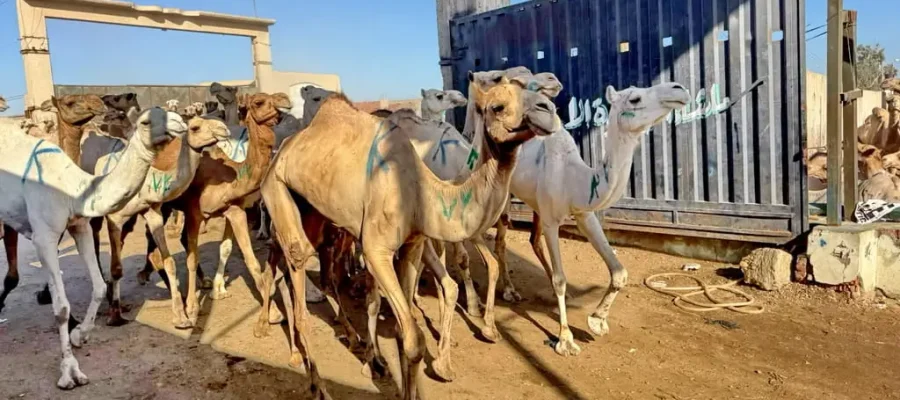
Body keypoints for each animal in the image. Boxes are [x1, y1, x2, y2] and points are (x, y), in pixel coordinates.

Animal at [0, 107, 186, 389]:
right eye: (145, 121)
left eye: (169, 113)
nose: (180, 122)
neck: (70, 188)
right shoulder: (44, 236)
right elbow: (61, 307)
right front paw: (69, 372)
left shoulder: (80, 226)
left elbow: (98, 286)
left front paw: (79, 335)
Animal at [93, 117, 230, 326]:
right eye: (195, 127)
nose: (224, 129)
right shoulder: (115, 218)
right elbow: (116, 268)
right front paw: (115, 316)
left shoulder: (153, 211)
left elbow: (169, 261)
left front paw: (181, 317)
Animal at [257, 76, 560, 398]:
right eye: (497, 106)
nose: (548, 109)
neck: (421, 190)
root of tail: (285, 147)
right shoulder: (376, 251)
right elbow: (413, 336)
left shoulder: (413, 244)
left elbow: (407, 333)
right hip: (276, 189)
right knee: (296, 266)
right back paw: (316, 383)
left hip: (316, 213)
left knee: (308, 270)